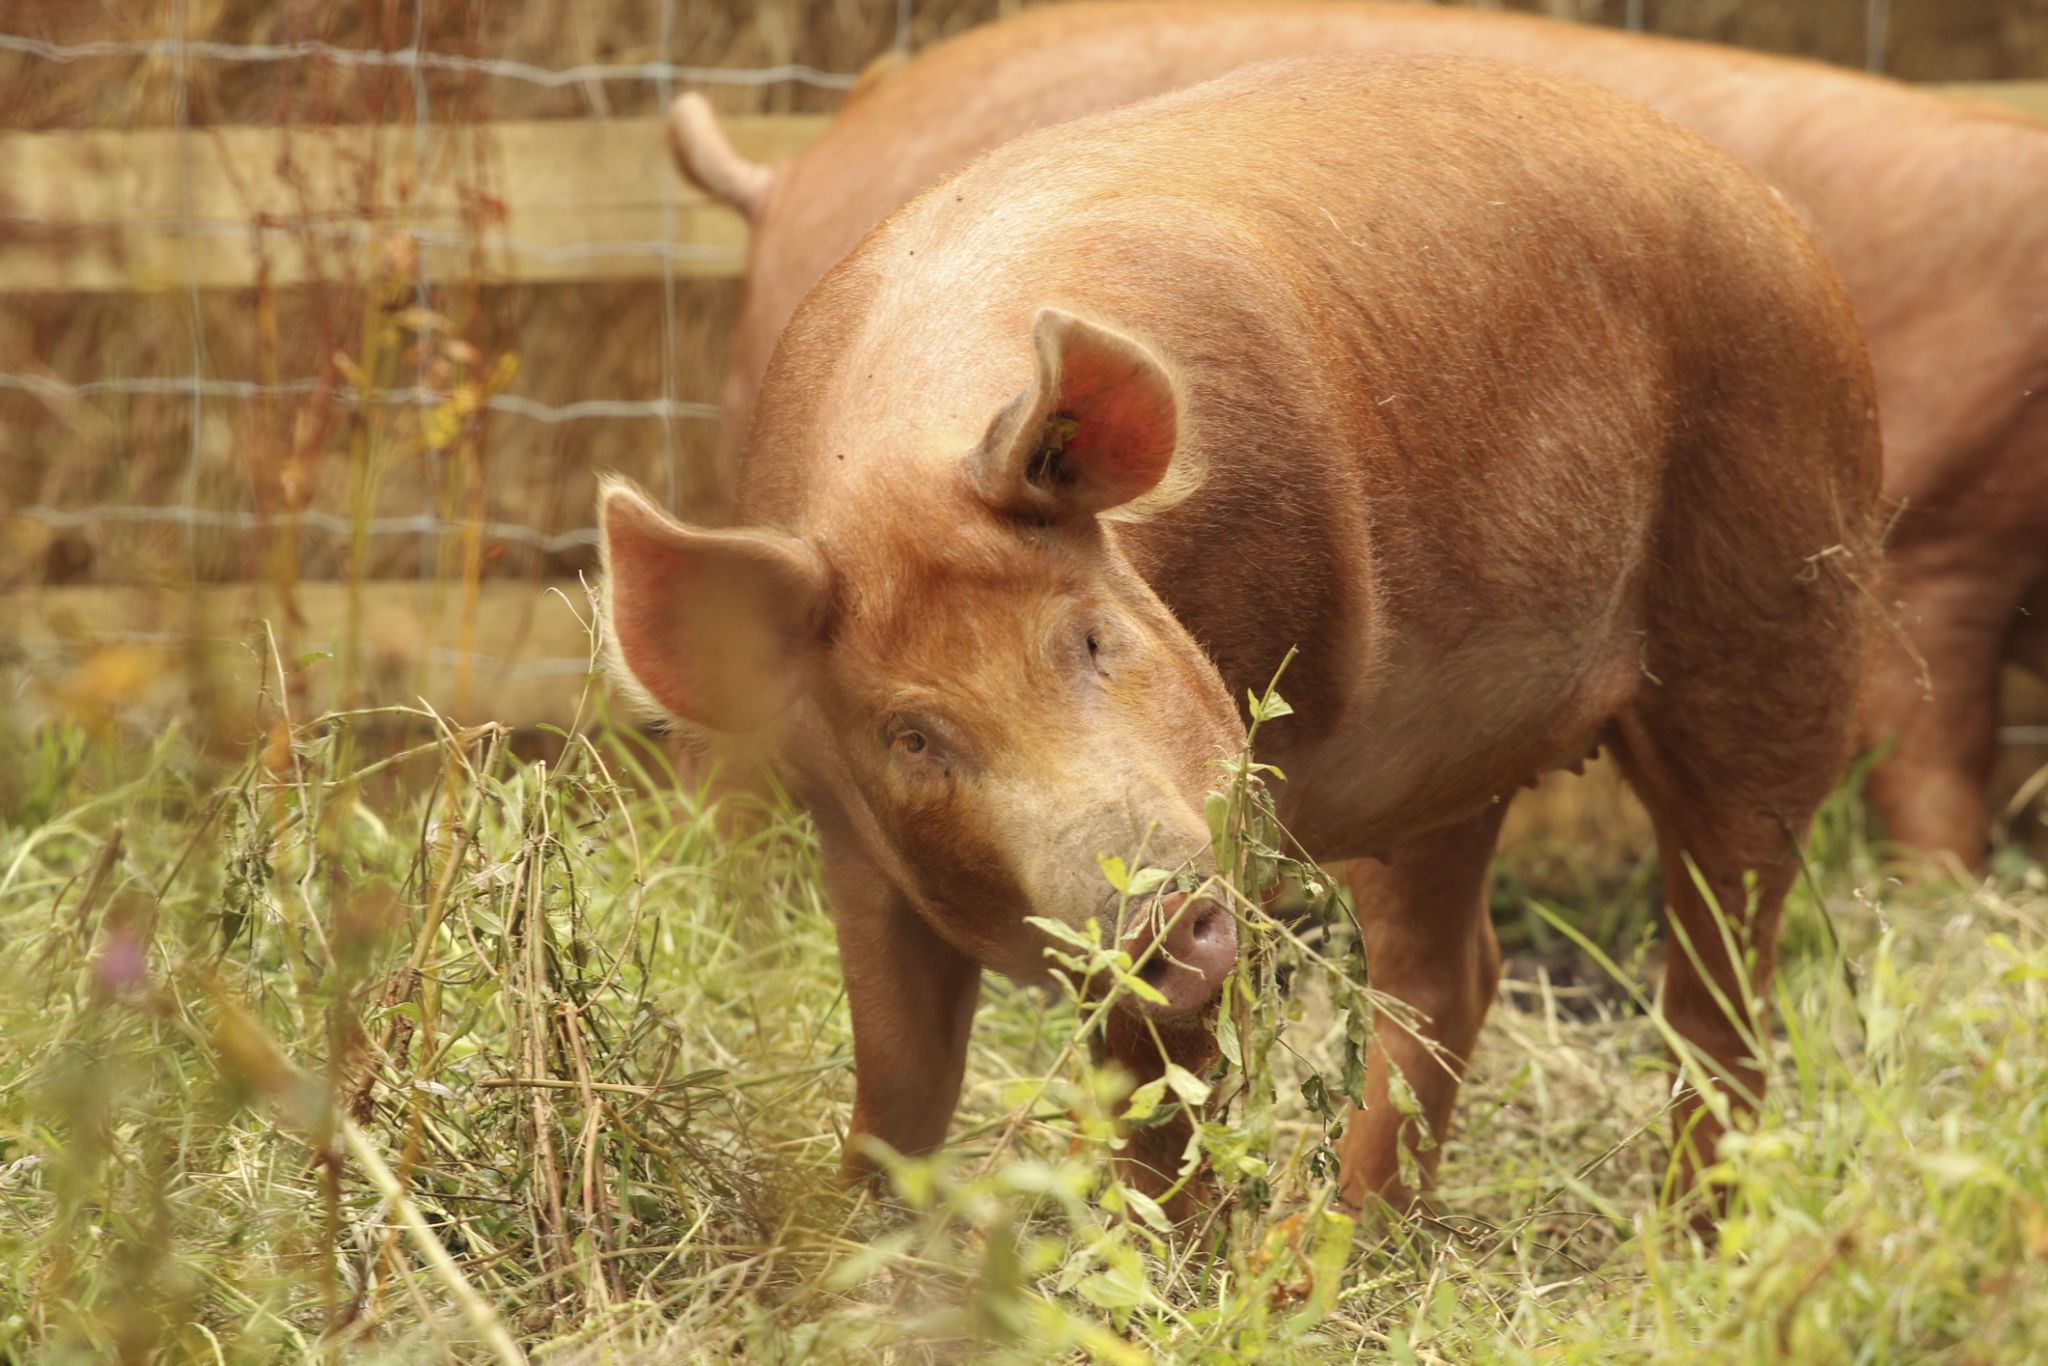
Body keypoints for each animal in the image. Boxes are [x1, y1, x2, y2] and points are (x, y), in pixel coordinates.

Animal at [607, 54, 1882, 1217]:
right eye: (910, 735)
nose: (1156, 913)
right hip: (1446, 741)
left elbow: (1159, 1104)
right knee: (1447, 975)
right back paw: (1341, 1244)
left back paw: (1686, 1241)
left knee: (1721, 984)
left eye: (1093, 638)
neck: (898, 466)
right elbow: (896, 1087)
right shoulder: (851, 833)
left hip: (1776, 621)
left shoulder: (1233, 796)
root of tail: (1780, 221)